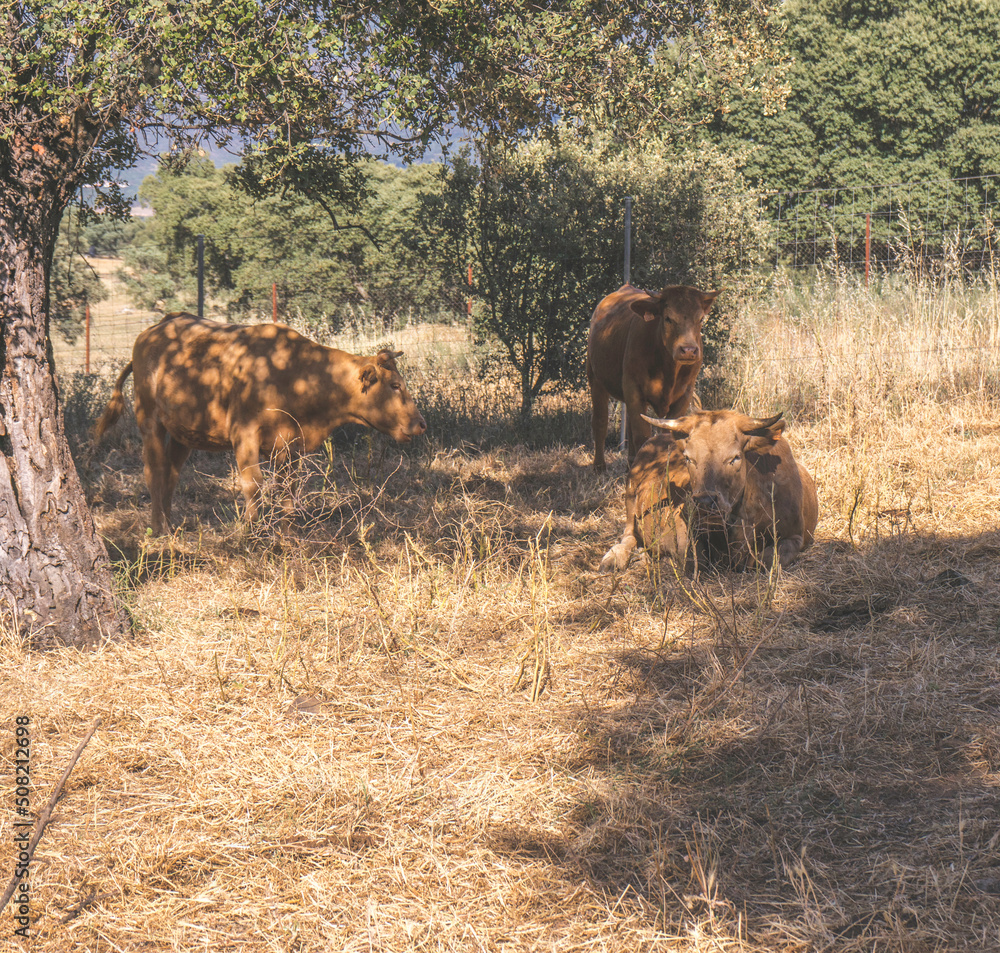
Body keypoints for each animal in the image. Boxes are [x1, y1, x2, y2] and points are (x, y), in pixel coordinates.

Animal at [94, 312, 427, 534]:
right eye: (395, 386)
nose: (421, 424)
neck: (295, 373)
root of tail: (157, 327)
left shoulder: (291, 444)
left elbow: (288, 488)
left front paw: (287, 530)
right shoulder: (244, 433)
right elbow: (253, 484)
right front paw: (250, 531)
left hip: (183, 433)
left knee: (171, 475)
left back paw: (170, 524)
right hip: (149, 420)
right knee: (155, 472)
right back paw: (158, 529)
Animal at [586, 284, 720, 471]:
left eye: (700, 319)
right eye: (668, 318)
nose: (688, 350)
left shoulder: (684, 395)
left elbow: (666, 435)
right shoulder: (634, 389)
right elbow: (642, 436)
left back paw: (630, 464)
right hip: (595, 379)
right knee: (600, 422)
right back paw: (599, 466)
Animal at [599, 409, 818, 573]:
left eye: (735, 457)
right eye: (688, 458)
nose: (705, 502)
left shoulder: (795, 536)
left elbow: (763, 560)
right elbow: (695, 561)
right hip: (630, 498)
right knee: (628, 535)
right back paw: (617, 557)